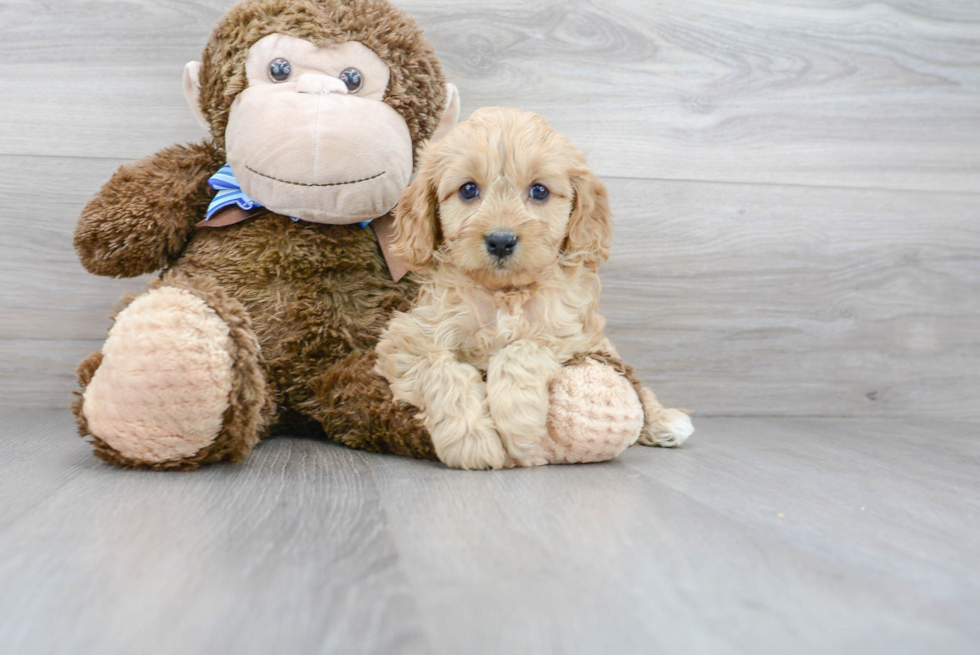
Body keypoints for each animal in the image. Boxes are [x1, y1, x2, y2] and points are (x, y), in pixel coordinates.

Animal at [374, 107, 688, 468]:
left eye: (539, 191)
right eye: (468, 190)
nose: (500, 240)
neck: (505, 293)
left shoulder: (572, 337)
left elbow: (521, 349)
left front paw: (517, 422)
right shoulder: (408, 337)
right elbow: (441, 371)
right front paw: (472, 440)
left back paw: (665, 421)